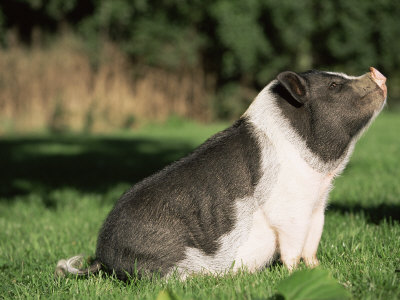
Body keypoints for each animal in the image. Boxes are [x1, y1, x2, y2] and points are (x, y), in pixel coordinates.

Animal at [54, 67, 386, 280]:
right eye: (334, 86)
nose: (376, 72)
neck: (320, 177)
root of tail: (102, 255)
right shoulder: (289, 210)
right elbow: (292, 247)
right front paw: (294, 273)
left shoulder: (317, 207)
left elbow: (311, 243)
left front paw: (318, 269)